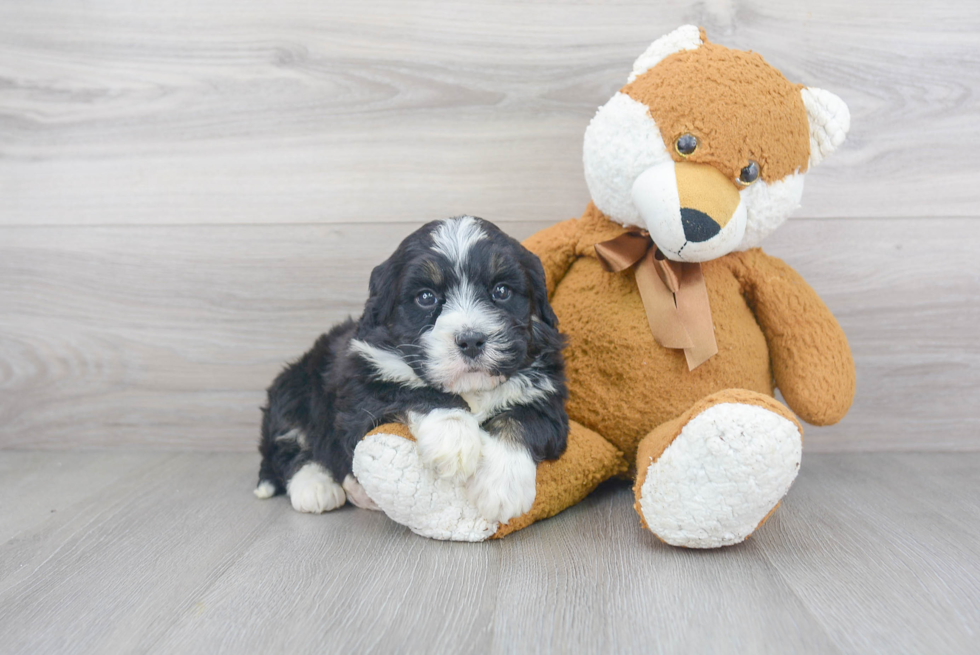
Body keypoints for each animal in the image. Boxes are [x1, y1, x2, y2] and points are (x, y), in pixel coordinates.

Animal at [255, 215, 568, 524]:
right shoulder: (362, 395)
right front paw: (453, 439)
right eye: (426, 297)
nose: (471, 340)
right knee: (288, 448)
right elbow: (416, 392)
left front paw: (501, 486)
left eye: (501, 291)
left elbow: (523, 419)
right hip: (294, 388)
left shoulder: (546, 395)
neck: (470, 388)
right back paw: (316, 487)